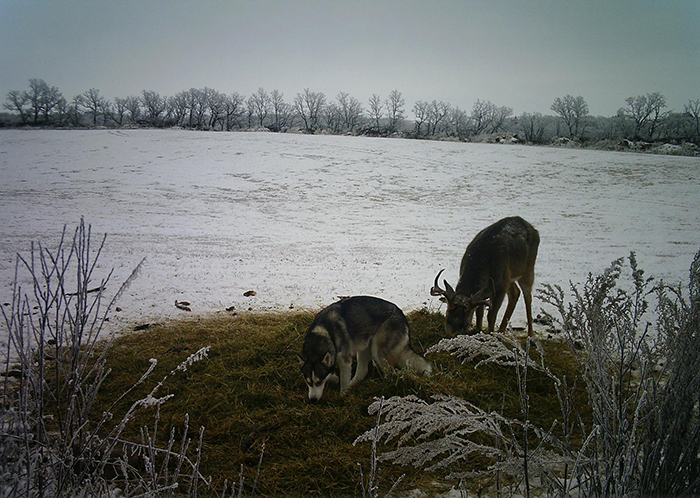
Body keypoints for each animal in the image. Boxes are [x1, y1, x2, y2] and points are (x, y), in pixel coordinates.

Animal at [296, 296, 430, 400]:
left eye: (318, 382)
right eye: (308, 382)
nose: (313, 400)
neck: (325, 332)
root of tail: (401, 314)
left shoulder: (345, 361)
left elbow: (343, 381)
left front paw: (342, 395)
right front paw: (335, 379)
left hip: (377, 352)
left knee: (391, 373)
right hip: (364, 348)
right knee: (362, 372)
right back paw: (353, 384)